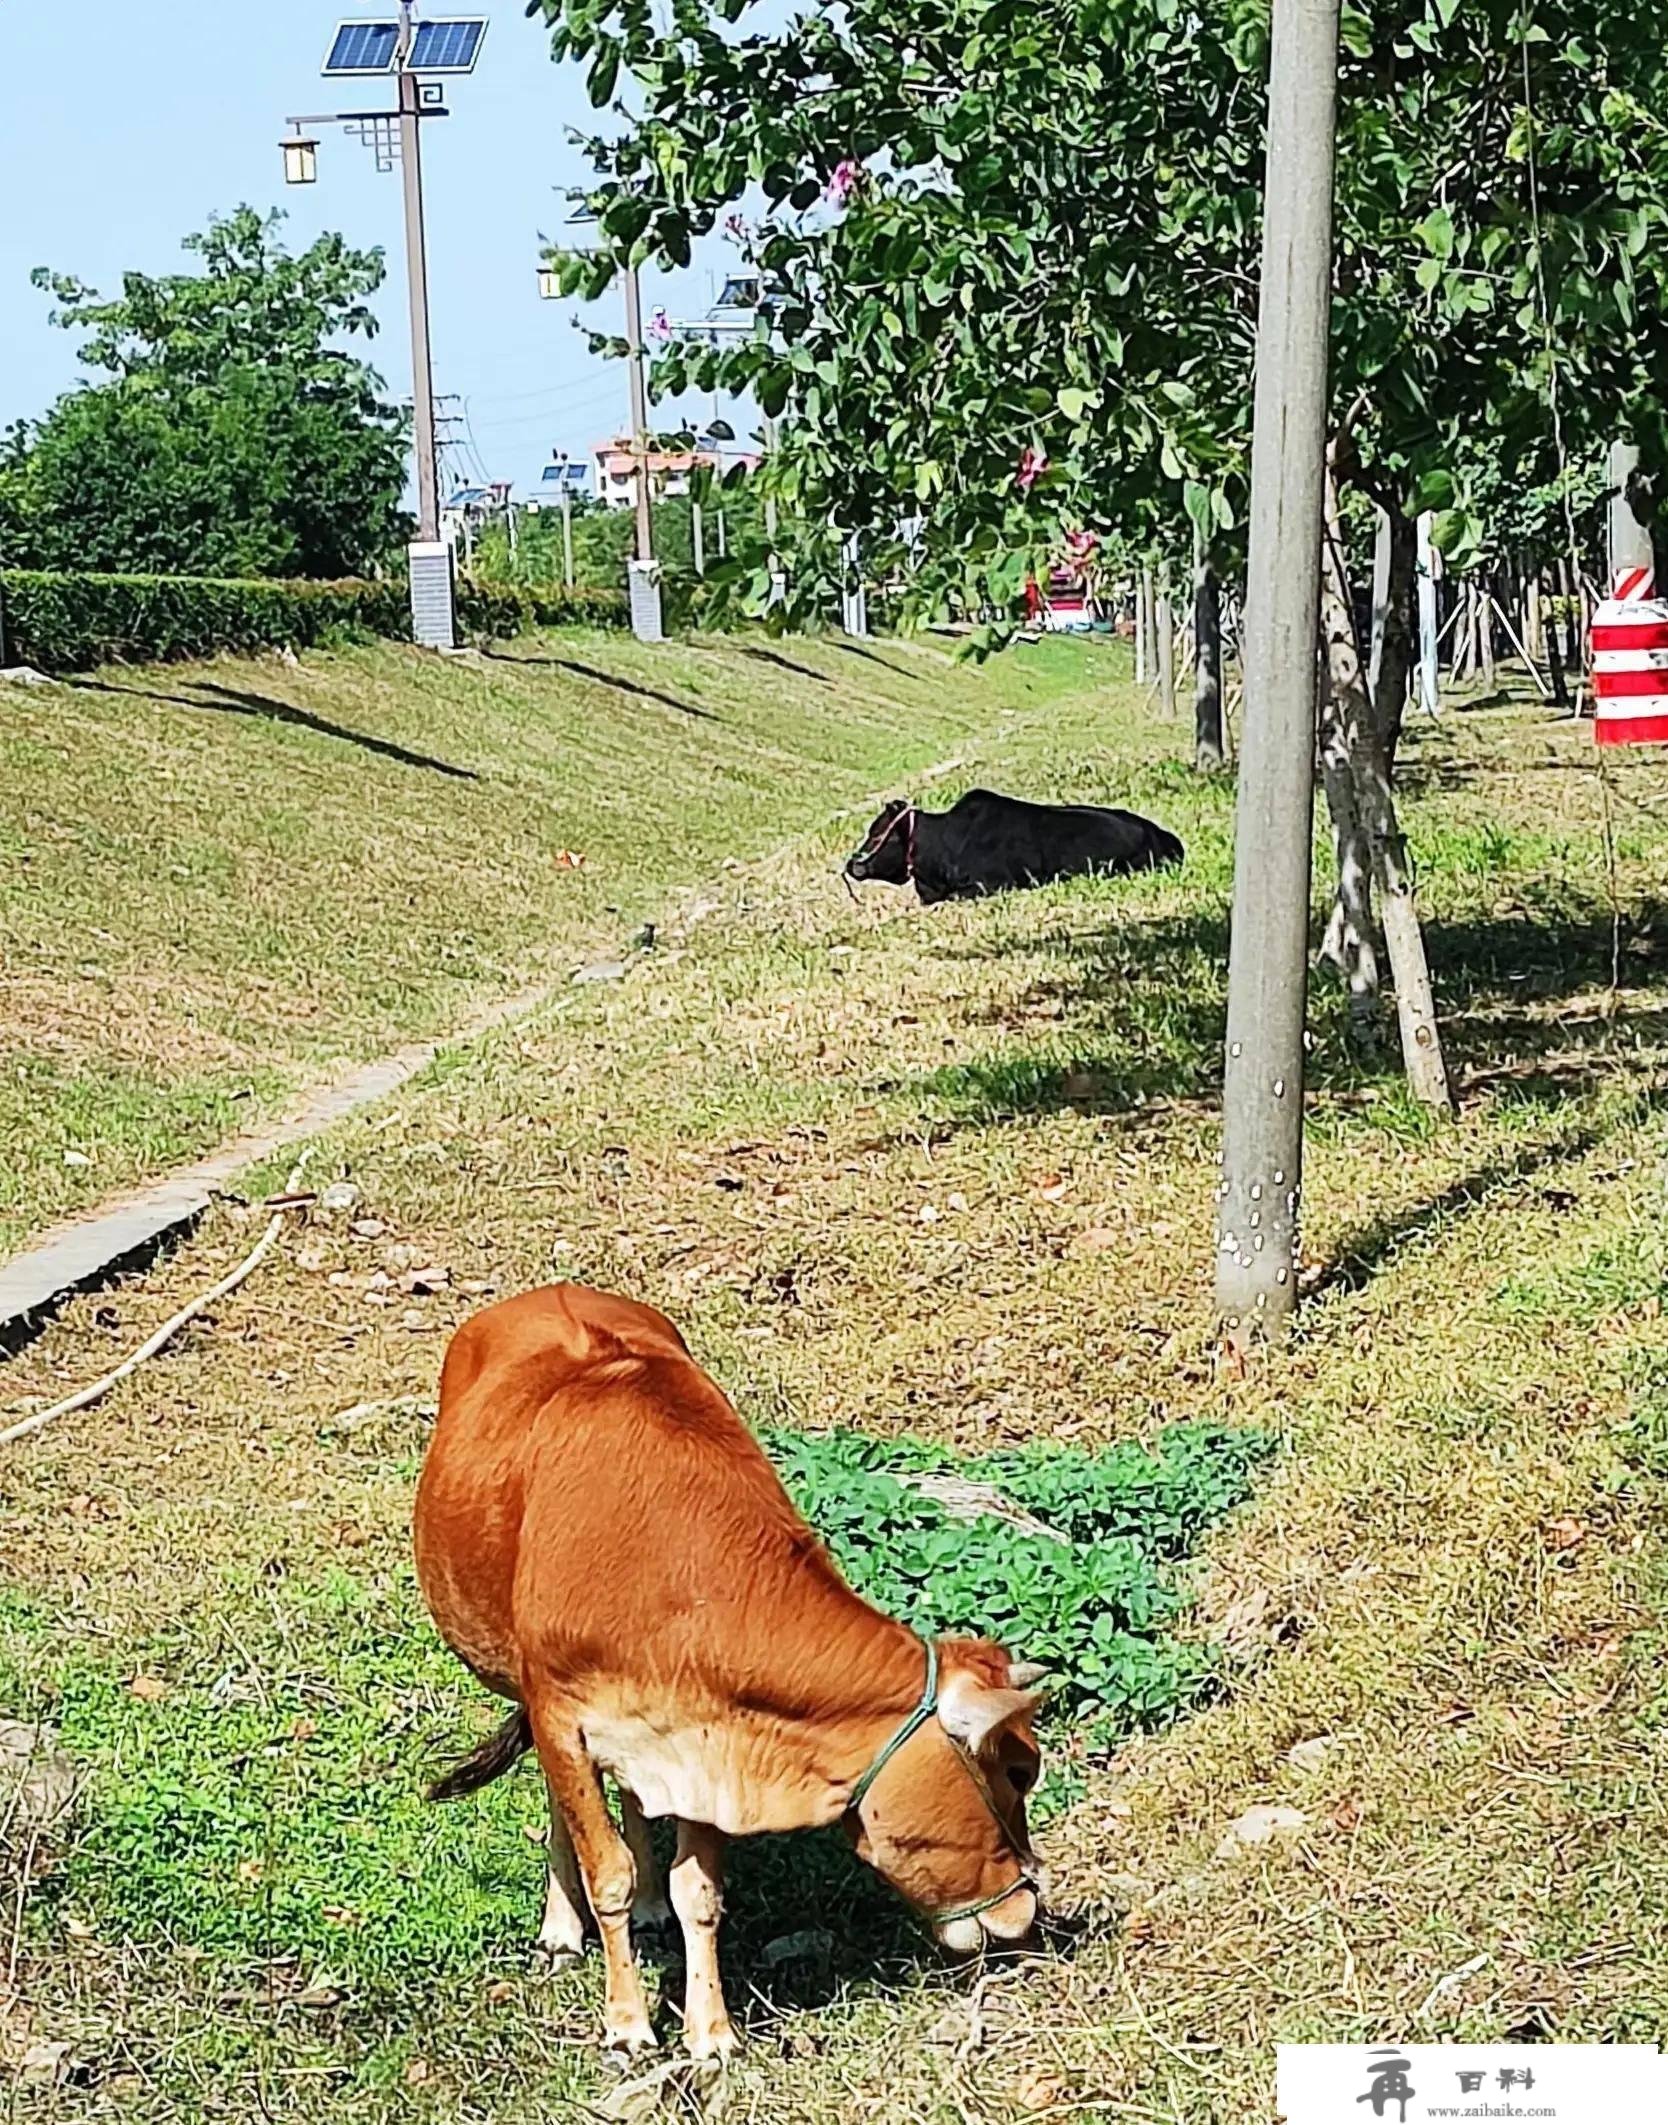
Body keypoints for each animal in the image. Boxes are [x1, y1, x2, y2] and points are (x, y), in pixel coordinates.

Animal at [412, 1275, 1041, 2057]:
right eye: (1018, 1770)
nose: (1026, 1907)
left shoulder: (712, 1735)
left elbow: (700, 1895)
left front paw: (710, 2030)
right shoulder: (561, 1714)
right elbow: (606, 1871)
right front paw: (628, 2022)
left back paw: (650, 1906)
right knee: (565, 1806)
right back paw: (563, 1928)